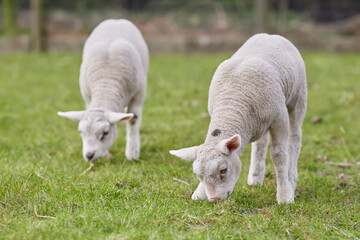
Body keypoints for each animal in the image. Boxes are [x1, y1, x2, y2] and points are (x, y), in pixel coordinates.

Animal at [57, 19, 148, 161]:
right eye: (80, 132)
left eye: (106, 132)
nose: (89, 156)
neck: (106, 83)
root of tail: (116, 20)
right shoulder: (87, 96)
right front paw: (106, 154)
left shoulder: (138, 95)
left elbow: (133, 120)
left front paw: (132, 153)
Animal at [169, 32, 306, 203]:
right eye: (197, 175)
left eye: (223, 170)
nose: (214, 199)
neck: (233, 101)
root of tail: (270, 35)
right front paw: (199, 193)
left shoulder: (279, 119)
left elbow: (278, 155)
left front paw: (285, 196)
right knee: (260, 143)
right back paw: (255, 177)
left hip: (298, 98)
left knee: (294, 139)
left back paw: (291, 179)